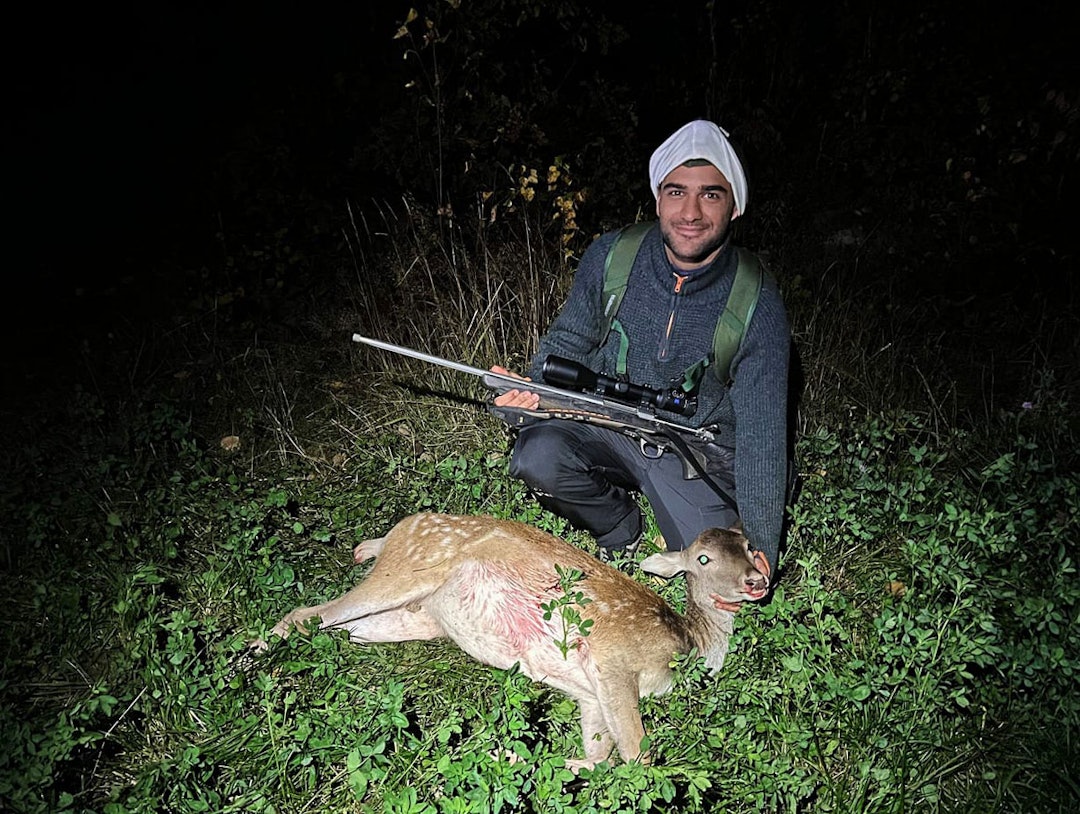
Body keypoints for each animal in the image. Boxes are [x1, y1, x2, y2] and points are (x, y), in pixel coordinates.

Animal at [266, 509, 768, 768]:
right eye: (702, 559)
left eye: (747, 547)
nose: (756, 580)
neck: (688, 643)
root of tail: (400, 526)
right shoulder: (612, 660)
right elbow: (635, 754)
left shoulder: (590, 694)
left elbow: (598, 755)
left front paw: (527, 759)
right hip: (410, 565)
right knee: (304, 614)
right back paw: (255, 654)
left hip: (420, 617)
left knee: (344, 628)